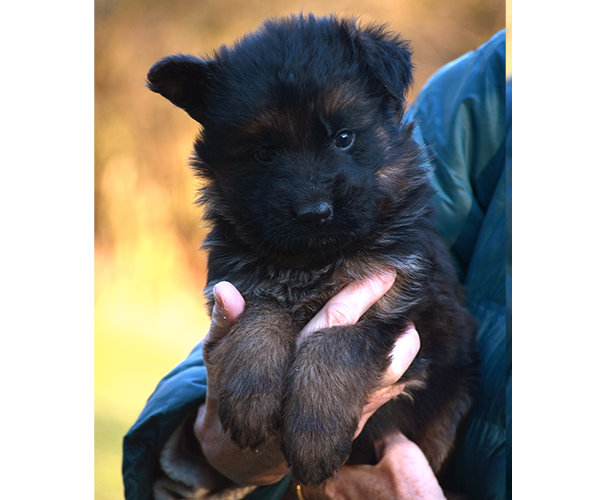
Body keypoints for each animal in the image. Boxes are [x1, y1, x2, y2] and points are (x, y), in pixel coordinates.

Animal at [146, 12, 478, 488]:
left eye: (343, 138)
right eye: (263, 153)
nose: (315, 212)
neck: (312, 260)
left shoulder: (398, 303)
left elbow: (334, 345)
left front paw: (314, 434)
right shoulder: (238, 282)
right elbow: (261, 316)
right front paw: (250, 398)